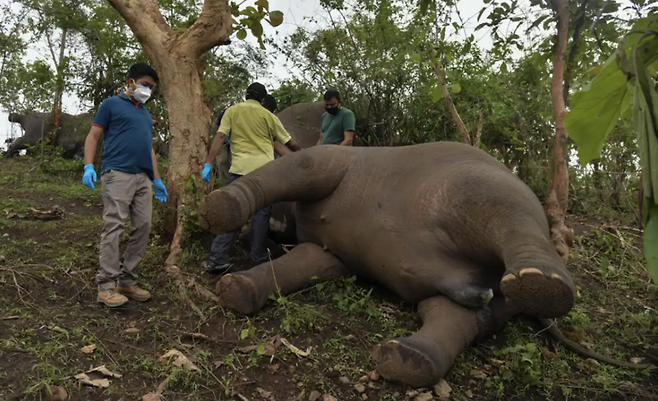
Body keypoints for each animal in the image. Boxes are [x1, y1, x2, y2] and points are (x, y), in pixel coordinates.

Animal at [199, 141, 576, 388]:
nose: (274, 232)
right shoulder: (332, 251)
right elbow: (313, 261)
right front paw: (237, 289)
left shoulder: (336, 157)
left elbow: (306, 166)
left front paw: (218, 209)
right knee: (459, 312)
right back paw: (408, 360)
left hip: (480, 185)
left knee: (500, 208)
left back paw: (541, 284)